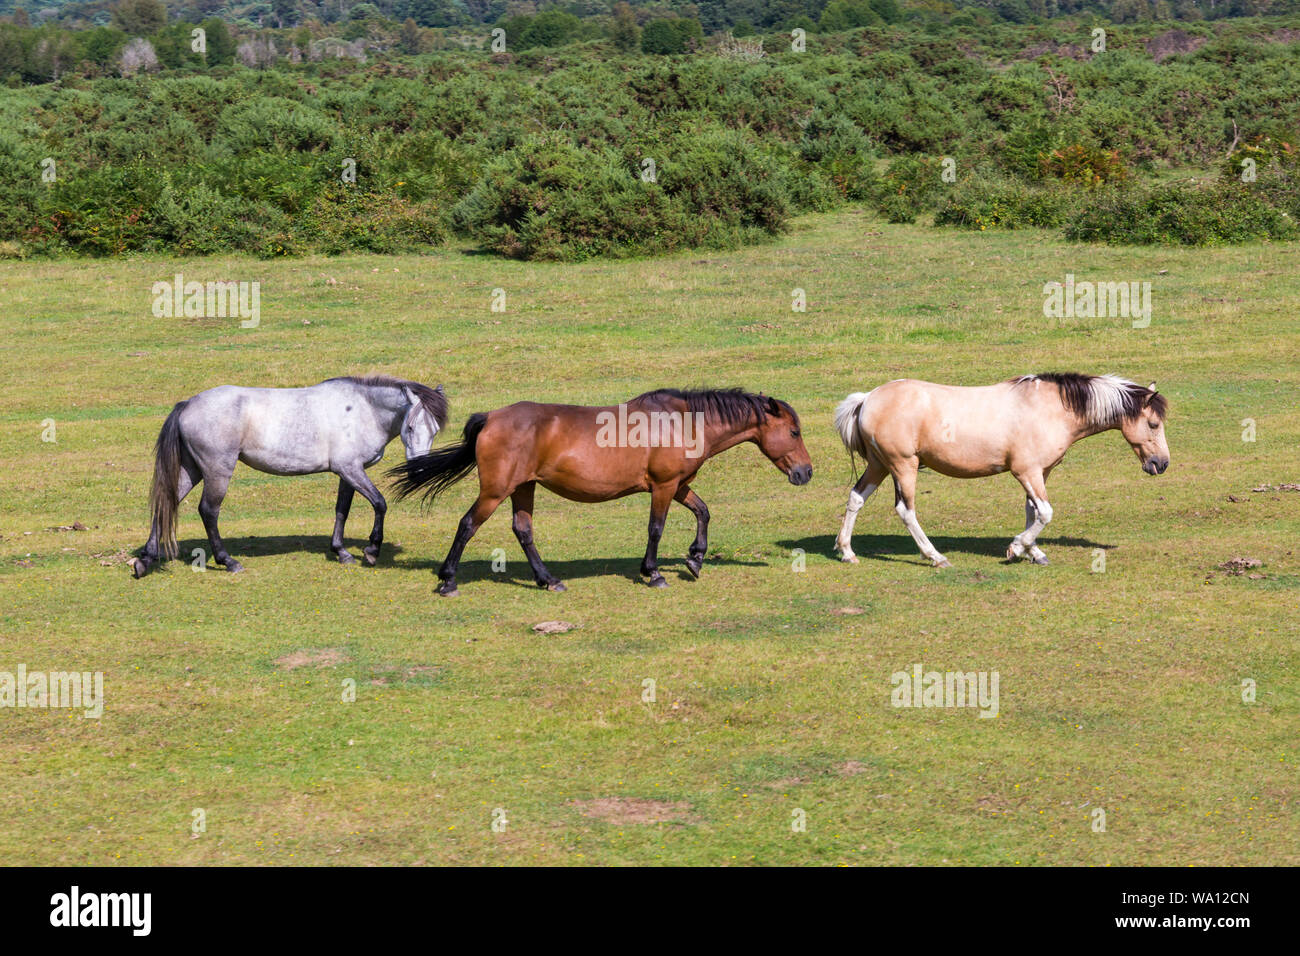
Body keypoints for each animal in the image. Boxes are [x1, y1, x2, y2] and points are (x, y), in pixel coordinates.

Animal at [130, 377, 447, 580]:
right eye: (410, 426)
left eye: (435, 429)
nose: (420, 470)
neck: (361, 410)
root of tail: (188, 404)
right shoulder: (351, 469)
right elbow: (380, 503)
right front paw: (371, 550)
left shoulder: (348, 472)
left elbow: (341, 510)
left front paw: (341, 551)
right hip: (217, 471)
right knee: (208, 511)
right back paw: (228, 561)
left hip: (191, 470)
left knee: (168, 503)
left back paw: (145, 560)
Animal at [387, 390, 811, 598]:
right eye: (793, 432)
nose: (806, 472)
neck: (680, 421)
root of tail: (491, 417)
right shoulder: (663, 486)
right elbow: (656, 529)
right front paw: (654, 573)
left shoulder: (678, 484)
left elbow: (703, 511)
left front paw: (695, 558)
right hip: (496, 490)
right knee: (468, 525)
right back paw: (448, 581)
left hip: (523, 488)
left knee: (523, 530)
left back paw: (549, 580)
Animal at [837, 374, 1175, 567]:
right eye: (1153, 424)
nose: (1161, 464)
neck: (1052, 408)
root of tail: (867, 399)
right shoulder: (1026, 472)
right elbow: (1045, 513)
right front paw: (1017, 548)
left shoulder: (1040, 472)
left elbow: (1032, 511)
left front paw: (1034, 552)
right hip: (903, 466)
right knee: (906, 511)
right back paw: (935, 557)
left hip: (879, 465)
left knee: (856, 498)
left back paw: (847, 552)